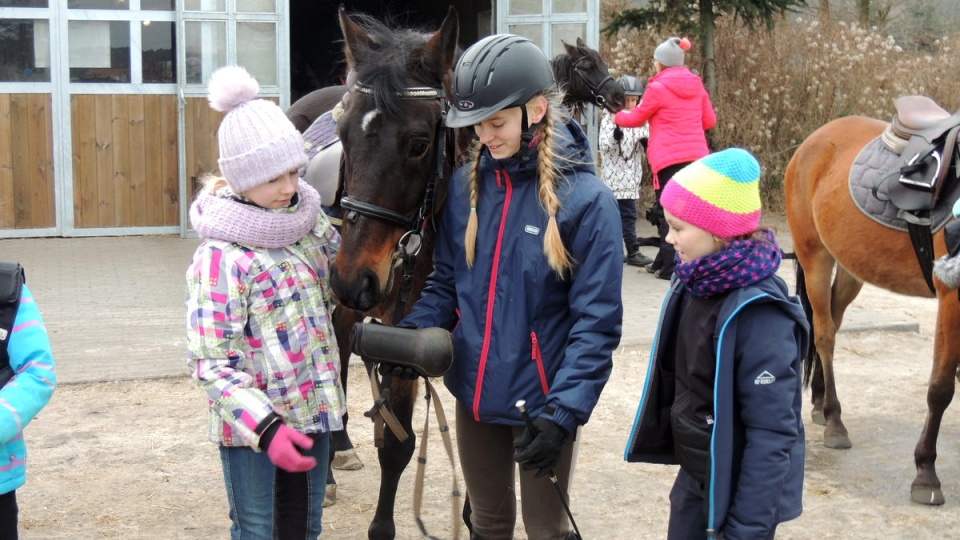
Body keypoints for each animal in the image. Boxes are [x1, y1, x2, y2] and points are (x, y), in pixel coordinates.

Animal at [784, 94, 960, 506]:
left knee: (831, 321)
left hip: (851, 267)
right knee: (824, 334)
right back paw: (834, 421)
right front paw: (925, 473)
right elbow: (941, 388)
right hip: (815, 257)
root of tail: (813, 141)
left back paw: (819, 403)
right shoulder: (952, 297)